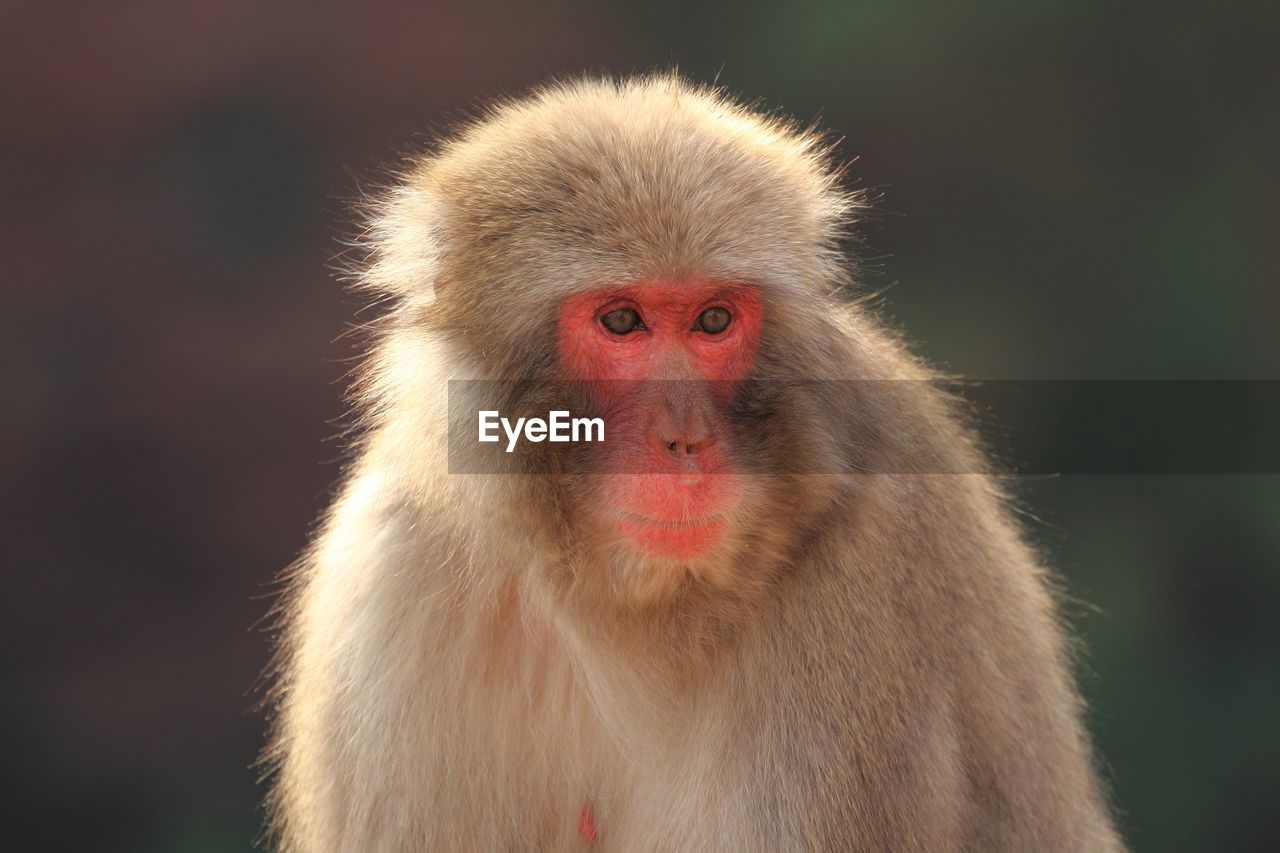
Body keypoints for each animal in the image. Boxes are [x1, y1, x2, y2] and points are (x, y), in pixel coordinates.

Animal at [262, 74, 1121, 850]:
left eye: (713, 320)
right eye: (622, 321)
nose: (685, 440)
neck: (641, 604)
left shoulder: (872, 568)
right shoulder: (389, 578)